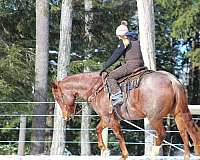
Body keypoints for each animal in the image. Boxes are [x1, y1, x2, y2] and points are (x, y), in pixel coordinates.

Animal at [52, 71, 200, 160]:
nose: (66, 117)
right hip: (179, 114)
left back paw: (152, 154)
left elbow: (118, 135)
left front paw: (123, 155)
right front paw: (104, 150)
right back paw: (188, 155)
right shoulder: (107, 118)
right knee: (188, 132)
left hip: (154, 118)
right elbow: (98, 129)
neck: (96, 88)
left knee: (163, 134)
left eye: (58, 98)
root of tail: (172, 80)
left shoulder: (110, 118)